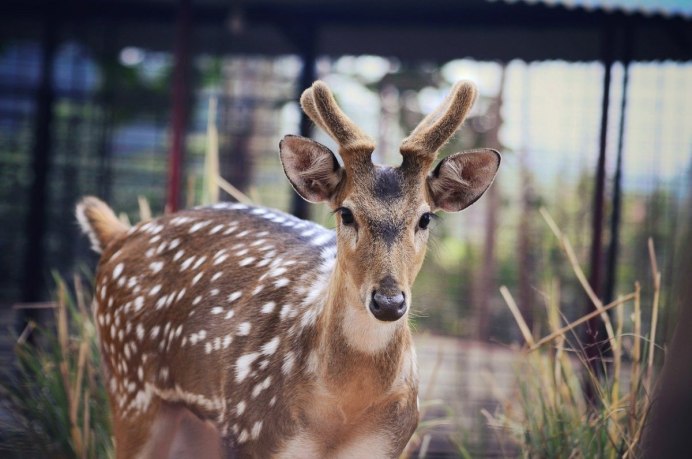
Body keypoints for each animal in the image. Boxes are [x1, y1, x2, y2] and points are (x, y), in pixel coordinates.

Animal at [74, 81, 498, 458]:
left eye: (425, 218)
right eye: (346, 212)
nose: (389, 301)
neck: (343, 411)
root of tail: (119, 235)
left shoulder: (389, 442)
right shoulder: (251, 431)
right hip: (131, 388)